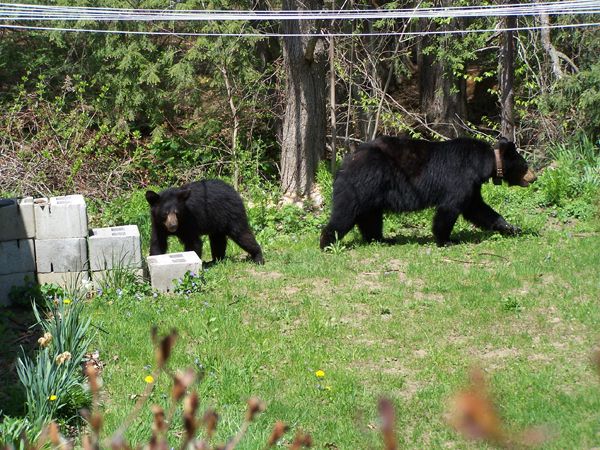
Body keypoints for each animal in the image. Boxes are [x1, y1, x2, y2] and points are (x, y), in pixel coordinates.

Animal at [322, 137, 536, 250]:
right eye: (525, 165)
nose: (534, 178)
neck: (483, 163)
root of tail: (344, 164)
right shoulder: (461, 177)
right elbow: (450, 207)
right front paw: (446, 239)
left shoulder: (473, 185)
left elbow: (478, 208)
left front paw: (512, 228)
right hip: (361, 184)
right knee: (345, 214)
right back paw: (327, 242)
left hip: (371, 192)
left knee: (370, 217)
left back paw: (381, 239)